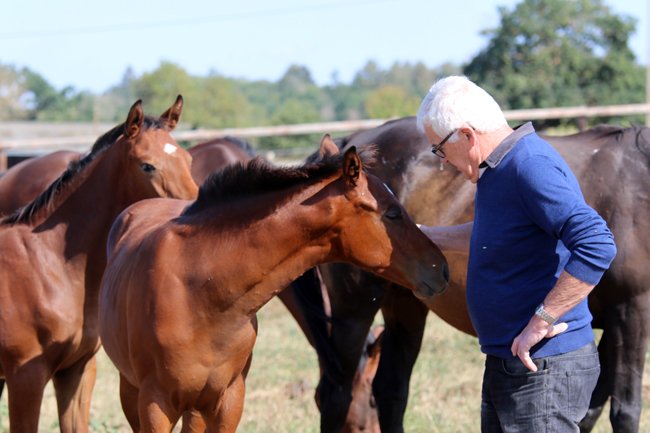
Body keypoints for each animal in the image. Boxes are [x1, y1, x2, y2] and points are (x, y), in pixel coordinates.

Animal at [97, 135, 450, 433]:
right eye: (392, 214)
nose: (441, 269)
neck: (199, 291)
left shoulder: (227, 401)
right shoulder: (155, 405)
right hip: (132, 391)